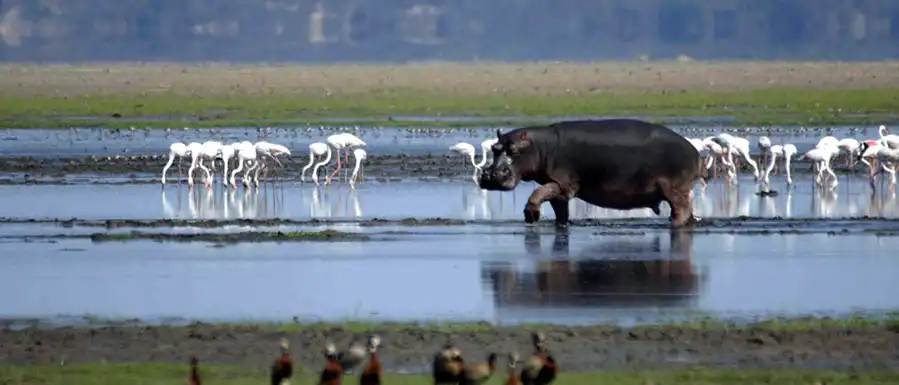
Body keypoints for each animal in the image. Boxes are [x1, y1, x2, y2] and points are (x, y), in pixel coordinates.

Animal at [482, 118, 708, 226]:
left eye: (513, 150)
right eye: (494, 148)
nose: (490, 175)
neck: (539, 146)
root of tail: (695, 152)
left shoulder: (563, 183)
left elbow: (537, 193)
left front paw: (531, 216)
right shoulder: (559, 190)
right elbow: (559, 209)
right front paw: (561, 224)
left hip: (675, 189)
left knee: (681, 210)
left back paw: (673, 224)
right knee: (687, 211)